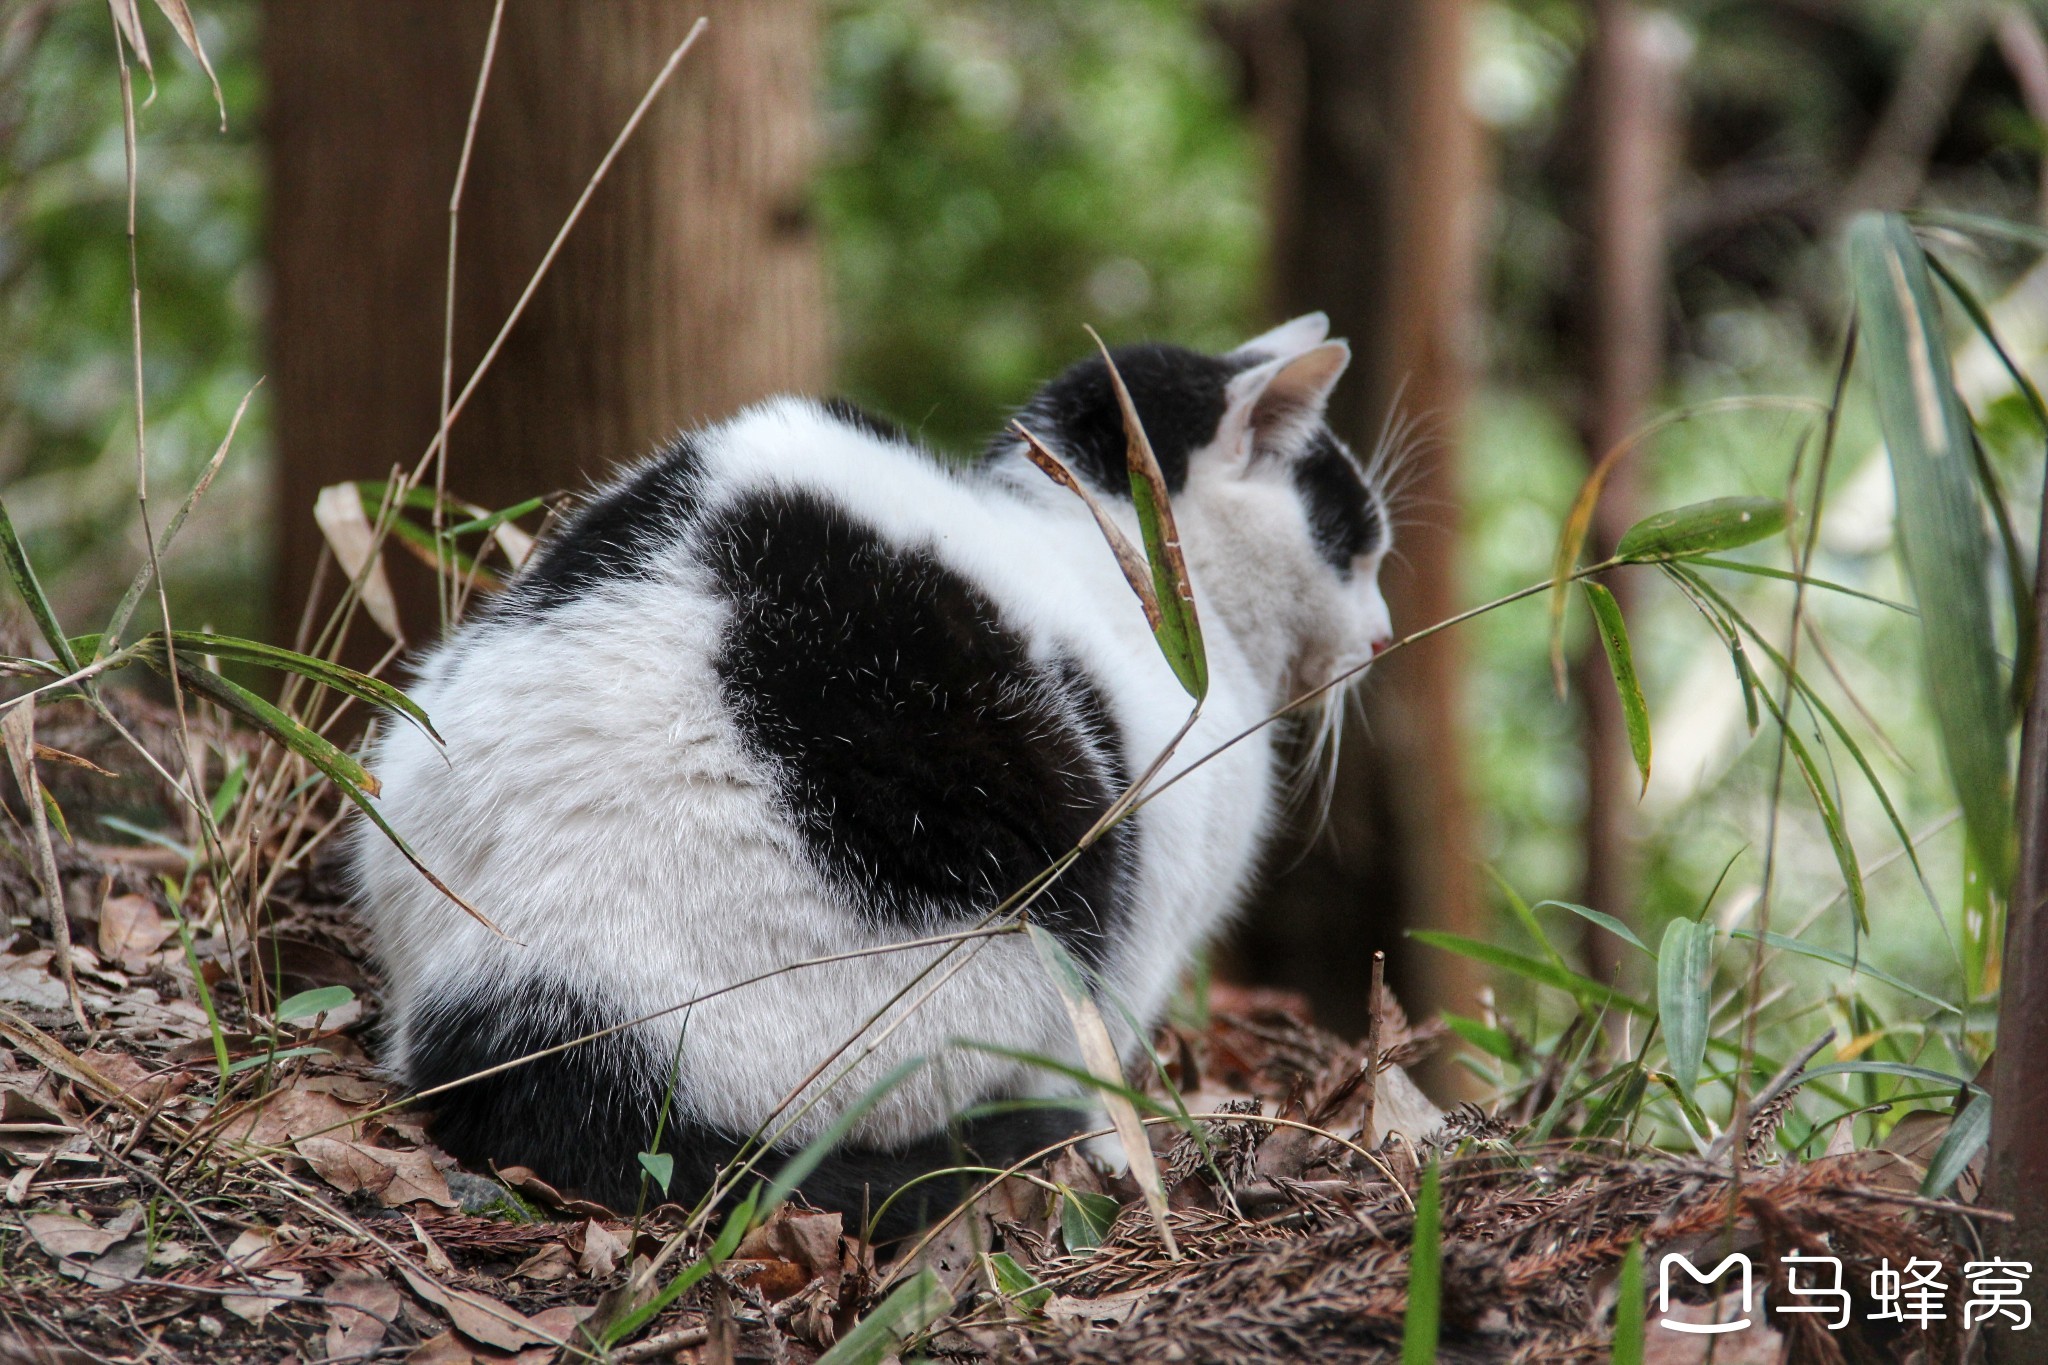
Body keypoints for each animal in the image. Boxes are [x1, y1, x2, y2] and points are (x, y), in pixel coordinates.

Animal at [352, 313, 1400, 1236]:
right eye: (1358, 549)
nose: (1385, 637)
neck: (1101, 530)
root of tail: (515, 1021)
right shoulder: (1148, 934)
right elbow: (1102, 1073)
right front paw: (1121, 1153)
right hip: (1012, 950)